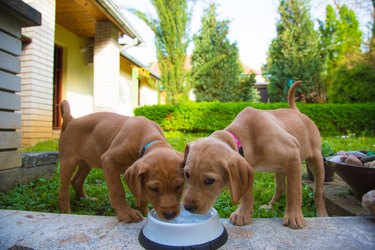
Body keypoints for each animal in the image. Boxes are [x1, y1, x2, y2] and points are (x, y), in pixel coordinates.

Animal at [57, 100, 185, 224]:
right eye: (154, 189)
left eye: (179, 186)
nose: (170, 215)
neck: (149, 139)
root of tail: (72, 120)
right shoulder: (109, 160)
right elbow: (118, 190)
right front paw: (127, 213)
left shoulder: (138, 177)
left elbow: (142, 196)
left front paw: (145, 212)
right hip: (68, 161)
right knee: (64, 189)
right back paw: (66, 211)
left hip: (86, 162)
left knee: (76, 181)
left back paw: (85, 199)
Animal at [184, 81, 328, 229]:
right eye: (187, 175)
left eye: (209, 181)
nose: (188, 207)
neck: (246, 136)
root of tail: (296, 111)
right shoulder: (247, 169)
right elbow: (247, 192)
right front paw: (243, 214)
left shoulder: (293, 155)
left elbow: (294, 191)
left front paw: (294, 216)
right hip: (280, 169)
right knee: (280, 187)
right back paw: (270, 206)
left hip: (315, 160)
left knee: (318, 191)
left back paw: (322, 213)